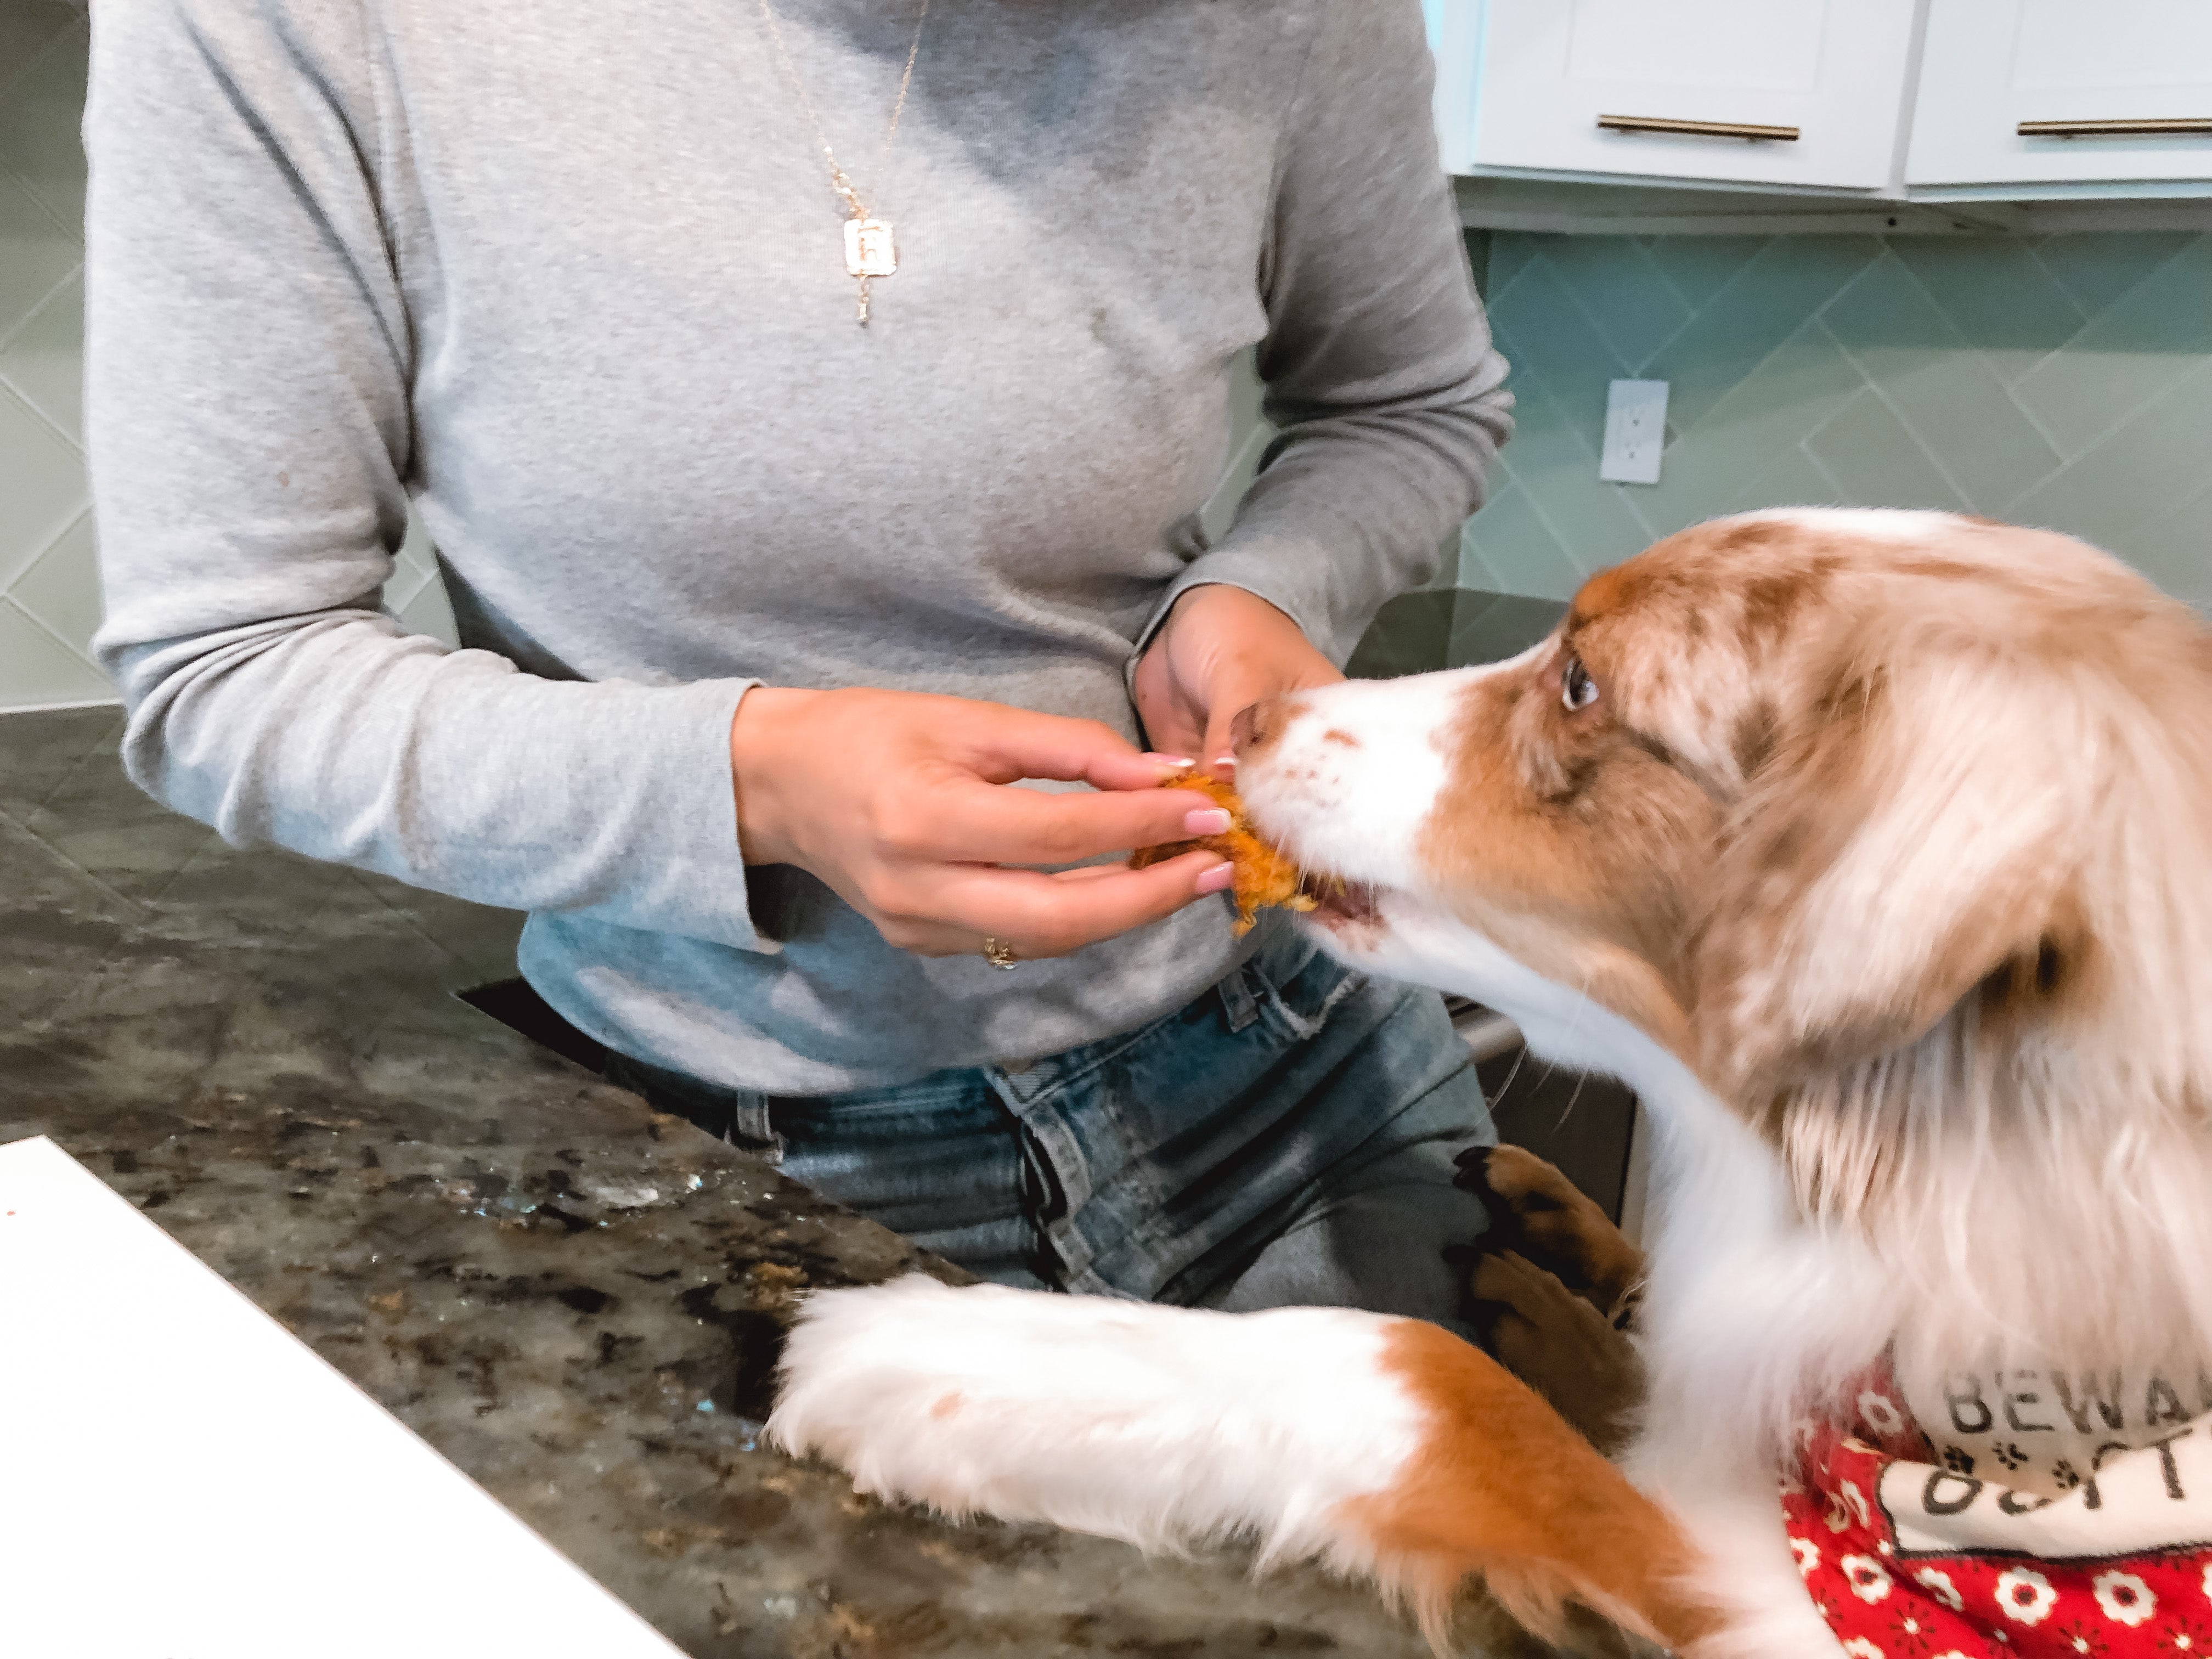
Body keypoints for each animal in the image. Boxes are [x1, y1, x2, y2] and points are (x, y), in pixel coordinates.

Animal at [770, 513, 2212, 1654]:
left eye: (1578, 683)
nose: (1251, 714)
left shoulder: (1819, 1602)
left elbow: (1427, 1376)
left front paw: (955, 1354)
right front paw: (1572, 1274)